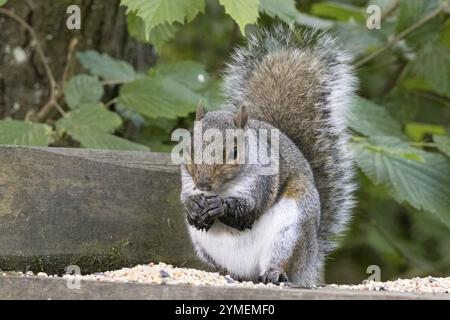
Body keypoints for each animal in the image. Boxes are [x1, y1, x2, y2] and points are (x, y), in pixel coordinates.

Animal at [179, 25, 358, 284]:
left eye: (234, 151)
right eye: (189, 148)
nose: (203, 184)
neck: (223, 187)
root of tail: (310, 260)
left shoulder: (261, 182)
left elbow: (247, 211)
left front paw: (219, 206)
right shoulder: (186, 181)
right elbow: (186, 199)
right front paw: (194, 205)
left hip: (290, 234)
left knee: (281, 260)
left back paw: (274, 273)